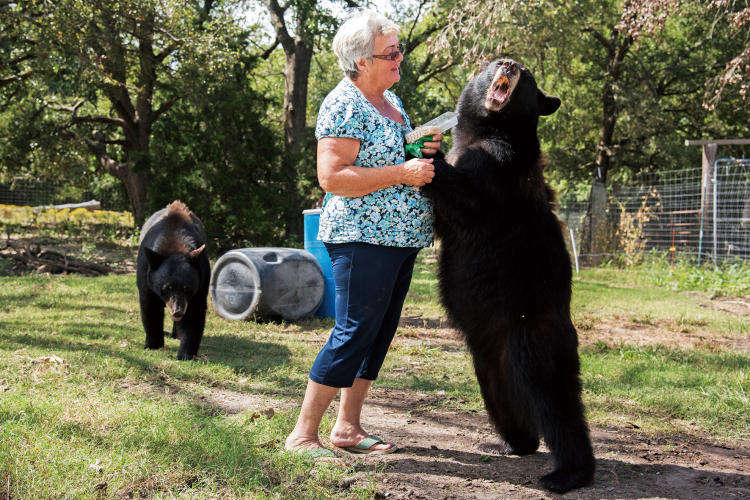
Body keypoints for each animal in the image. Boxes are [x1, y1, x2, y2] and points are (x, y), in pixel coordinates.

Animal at [136, 199, 210, 360]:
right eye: (167, 288)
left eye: (187, 288)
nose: (178, 312)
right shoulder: (146, 274)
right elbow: (150, 307)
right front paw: (153, 344)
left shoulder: (201, 279)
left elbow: (195, 313)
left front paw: (186, 353)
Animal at [426, 58, 596, 492]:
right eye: (493, 62)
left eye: (529, 76)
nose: (509, 63)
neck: (486, 130)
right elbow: (440, 223)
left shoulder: (500, 165)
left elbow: (472, 204)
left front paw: (427, 157)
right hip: (486, 359)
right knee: (505, 397)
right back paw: (510, 443)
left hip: (533, 333)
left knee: (554, 397)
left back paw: (568, 473)